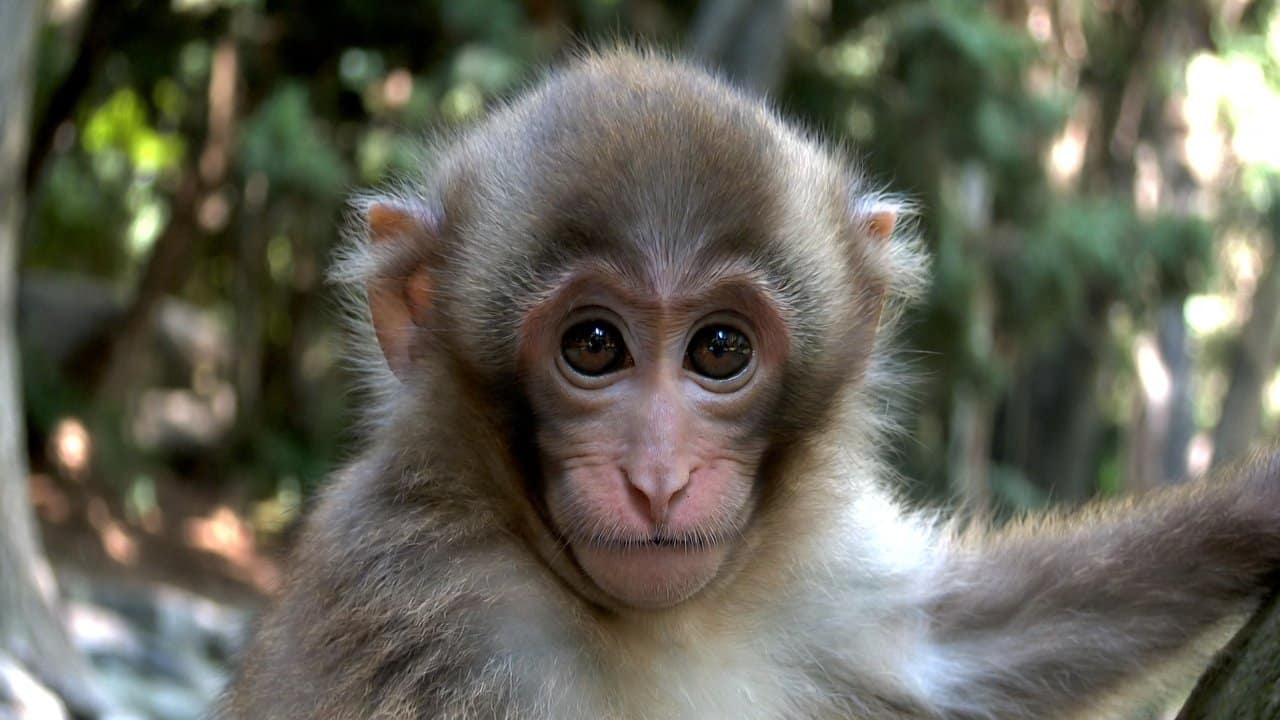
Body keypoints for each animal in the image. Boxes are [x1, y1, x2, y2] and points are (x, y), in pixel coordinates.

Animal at [220, 50, 1280, 719]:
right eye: (593, 346)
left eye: (720, 349)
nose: (658, 479)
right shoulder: (431, 611)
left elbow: (955, 645)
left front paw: (1257, 510)